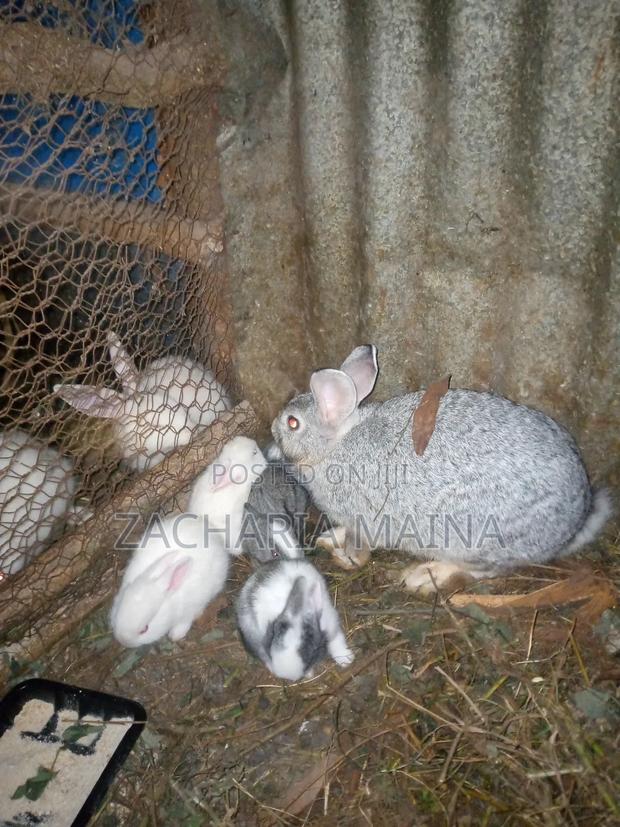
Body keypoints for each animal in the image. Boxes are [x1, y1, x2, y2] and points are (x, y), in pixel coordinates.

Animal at [110, 513, 230, 647]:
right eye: (117, 614)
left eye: (144, 629)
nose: (122, 640)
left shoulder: (190, 608)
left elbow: (184, 622)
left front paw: (175, 636)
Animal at [271, 345, 613, 593]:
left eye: (293, 423)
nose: (273, 428)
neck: (335, 445)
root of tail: (570, 528)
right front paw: (329, 538)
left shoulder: (364, 518)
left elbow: (360, 546)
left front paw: (347, 558)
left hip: (473, 538)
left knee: (482, 570)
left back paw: (424, 575)